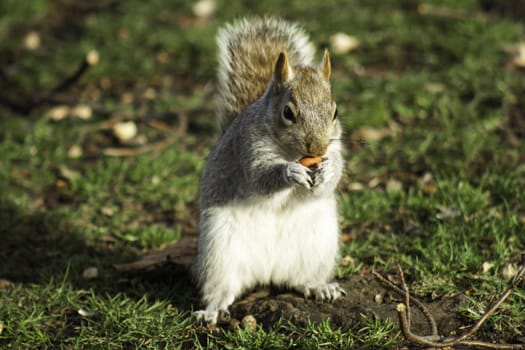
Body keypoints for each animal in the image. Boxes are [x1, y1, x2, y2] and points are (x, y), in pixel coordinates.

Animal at [192, 15, 344, 322]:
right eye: (288, 112)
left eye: (335, 112)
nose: (318, 149)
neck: (291, 152)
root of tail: (268, 271)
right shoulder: (249, 149)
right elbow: (260, 178)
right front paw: (289, 173)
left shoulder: (336, 145)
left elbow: (334, 176)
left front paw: (328, 172)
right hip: (220, 251)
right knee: (222, 289)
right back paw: (213, 311)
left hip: (317, 246)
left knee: (299, 280)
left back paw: (319, 287)